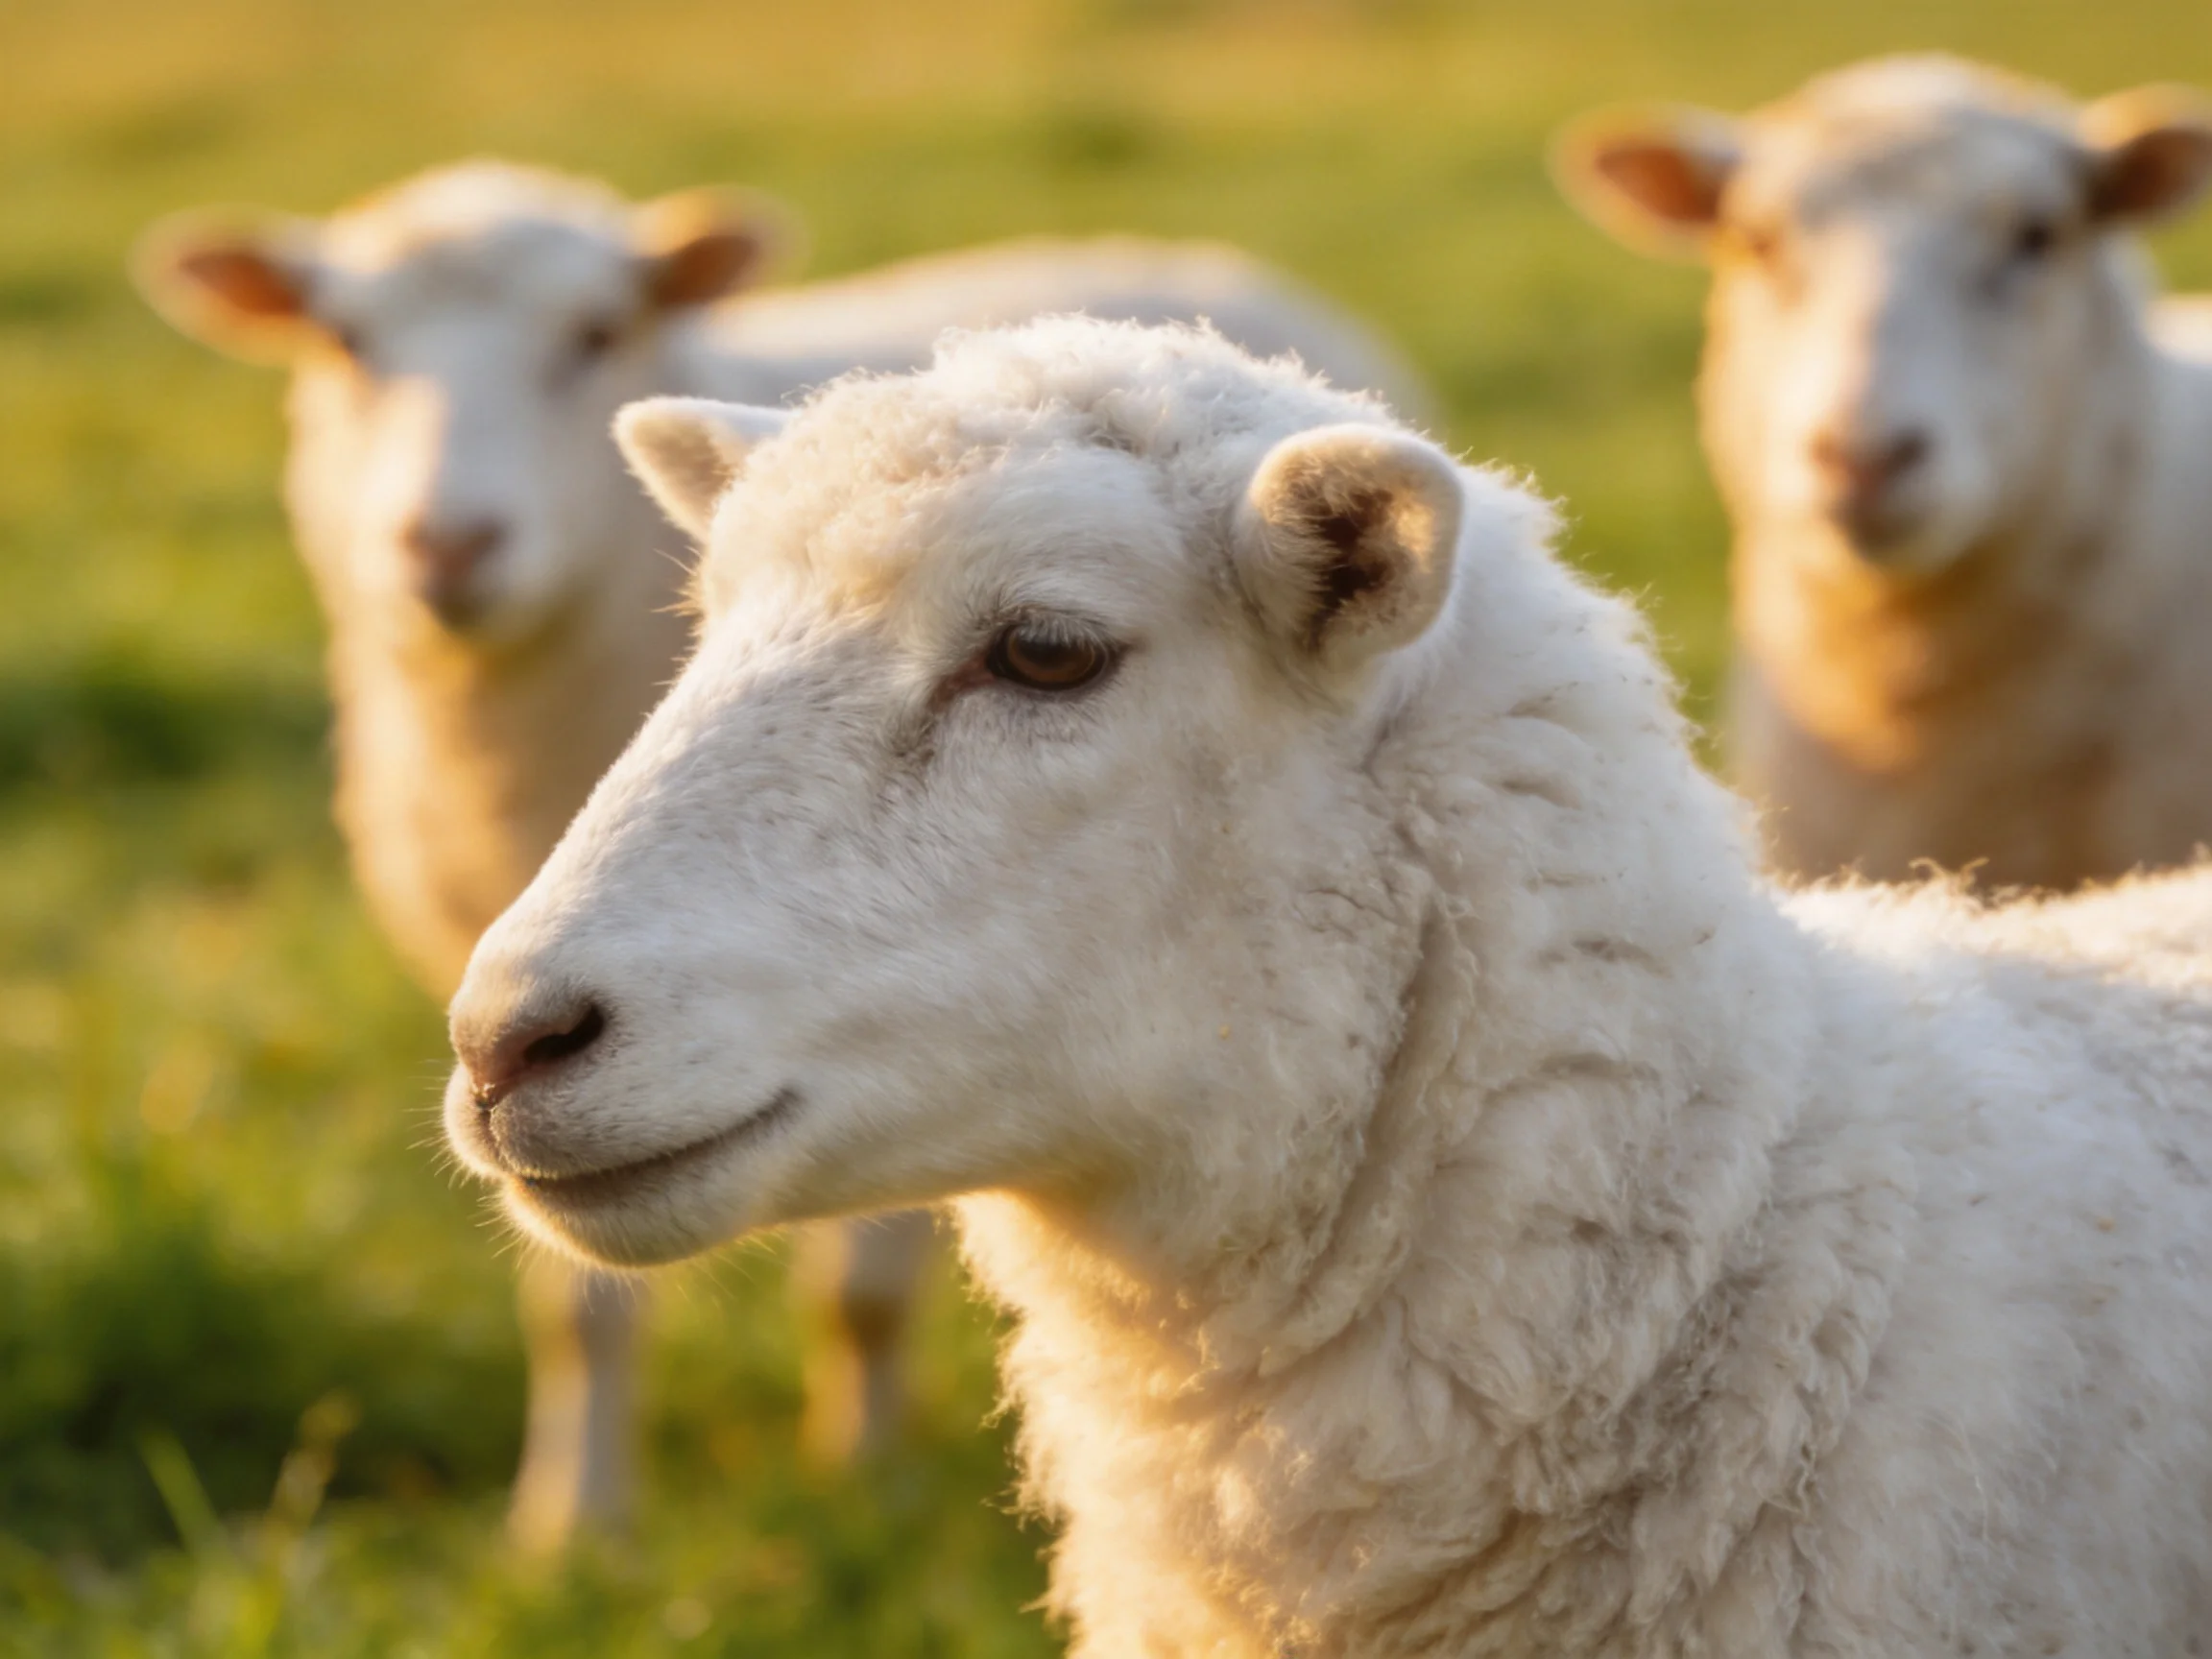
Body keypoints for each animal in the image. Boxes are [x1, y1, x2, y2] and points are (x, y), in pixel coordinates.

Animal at [131, 163, 1437, 1552]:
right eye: (344, 341)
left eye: (595, 332)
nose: (448, 548)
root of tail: (1191, 255)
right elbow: (577, 1309)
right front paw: (573, 1525)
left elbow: (859, 1299)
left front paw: (861, 1485)